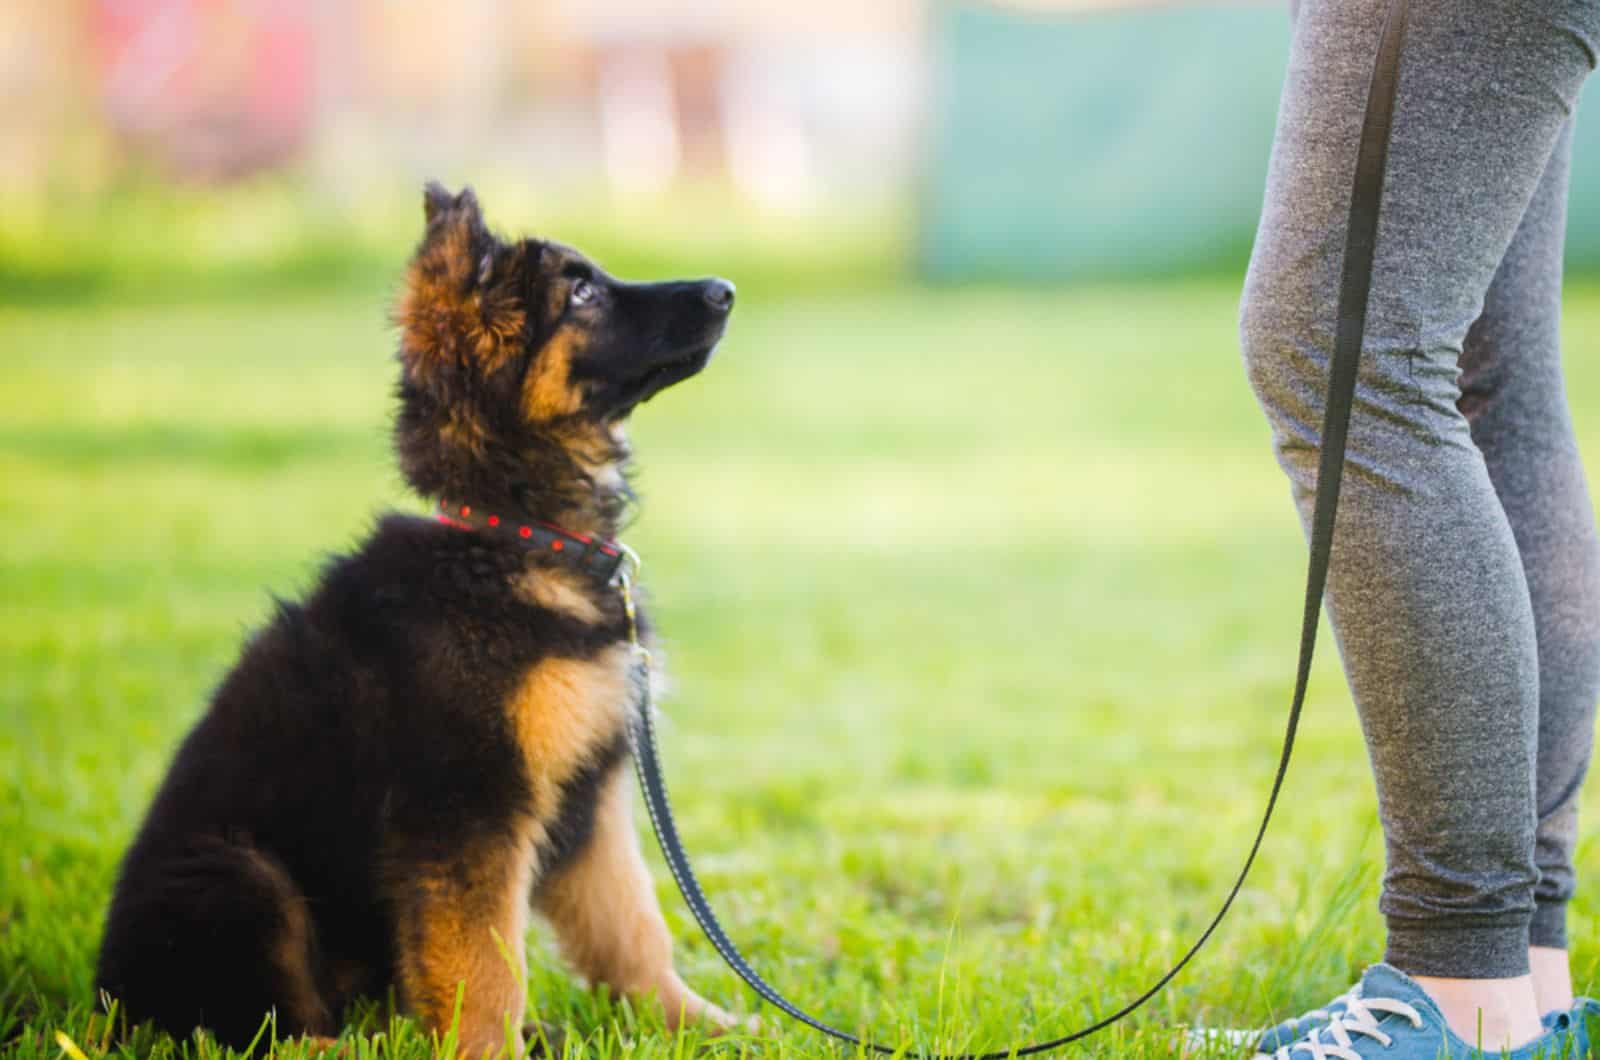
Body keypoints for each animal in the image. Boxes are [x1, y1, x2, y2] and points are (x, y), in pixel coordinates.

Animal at [98, 186, 742, 1056]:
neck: (514, 538)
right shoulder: (465, 807)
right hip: (239, 876)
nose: (724, 290)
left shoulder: (593, 793)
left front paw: (698, 1022)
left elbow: (632, 926)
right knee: (256, 1029)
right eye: (581, 294)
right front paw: (492, 1050)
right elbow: (485, 968)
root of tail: (106, 1000)